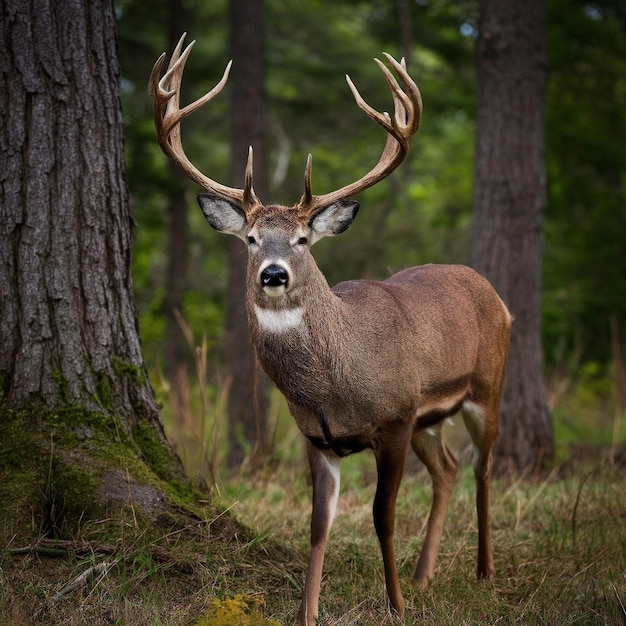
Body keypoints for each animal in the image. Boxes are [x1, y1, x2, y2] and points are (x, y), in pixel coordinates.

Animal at [150, 34, 508, 624]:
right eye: (251, 238)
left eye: (302, 240)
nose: (274, 274)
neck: (335, 386)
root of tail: (493, 292)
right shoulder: (318, 437)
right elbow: (318, 526)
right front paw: (308, 612)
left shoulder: (394, 419)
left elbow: (382, 516)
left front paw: (395, 605)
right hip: (430, 417)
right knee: (450, 468)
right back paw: (425, 574)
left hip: (487, 386)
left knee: (483, 467)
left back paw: (482, 571)